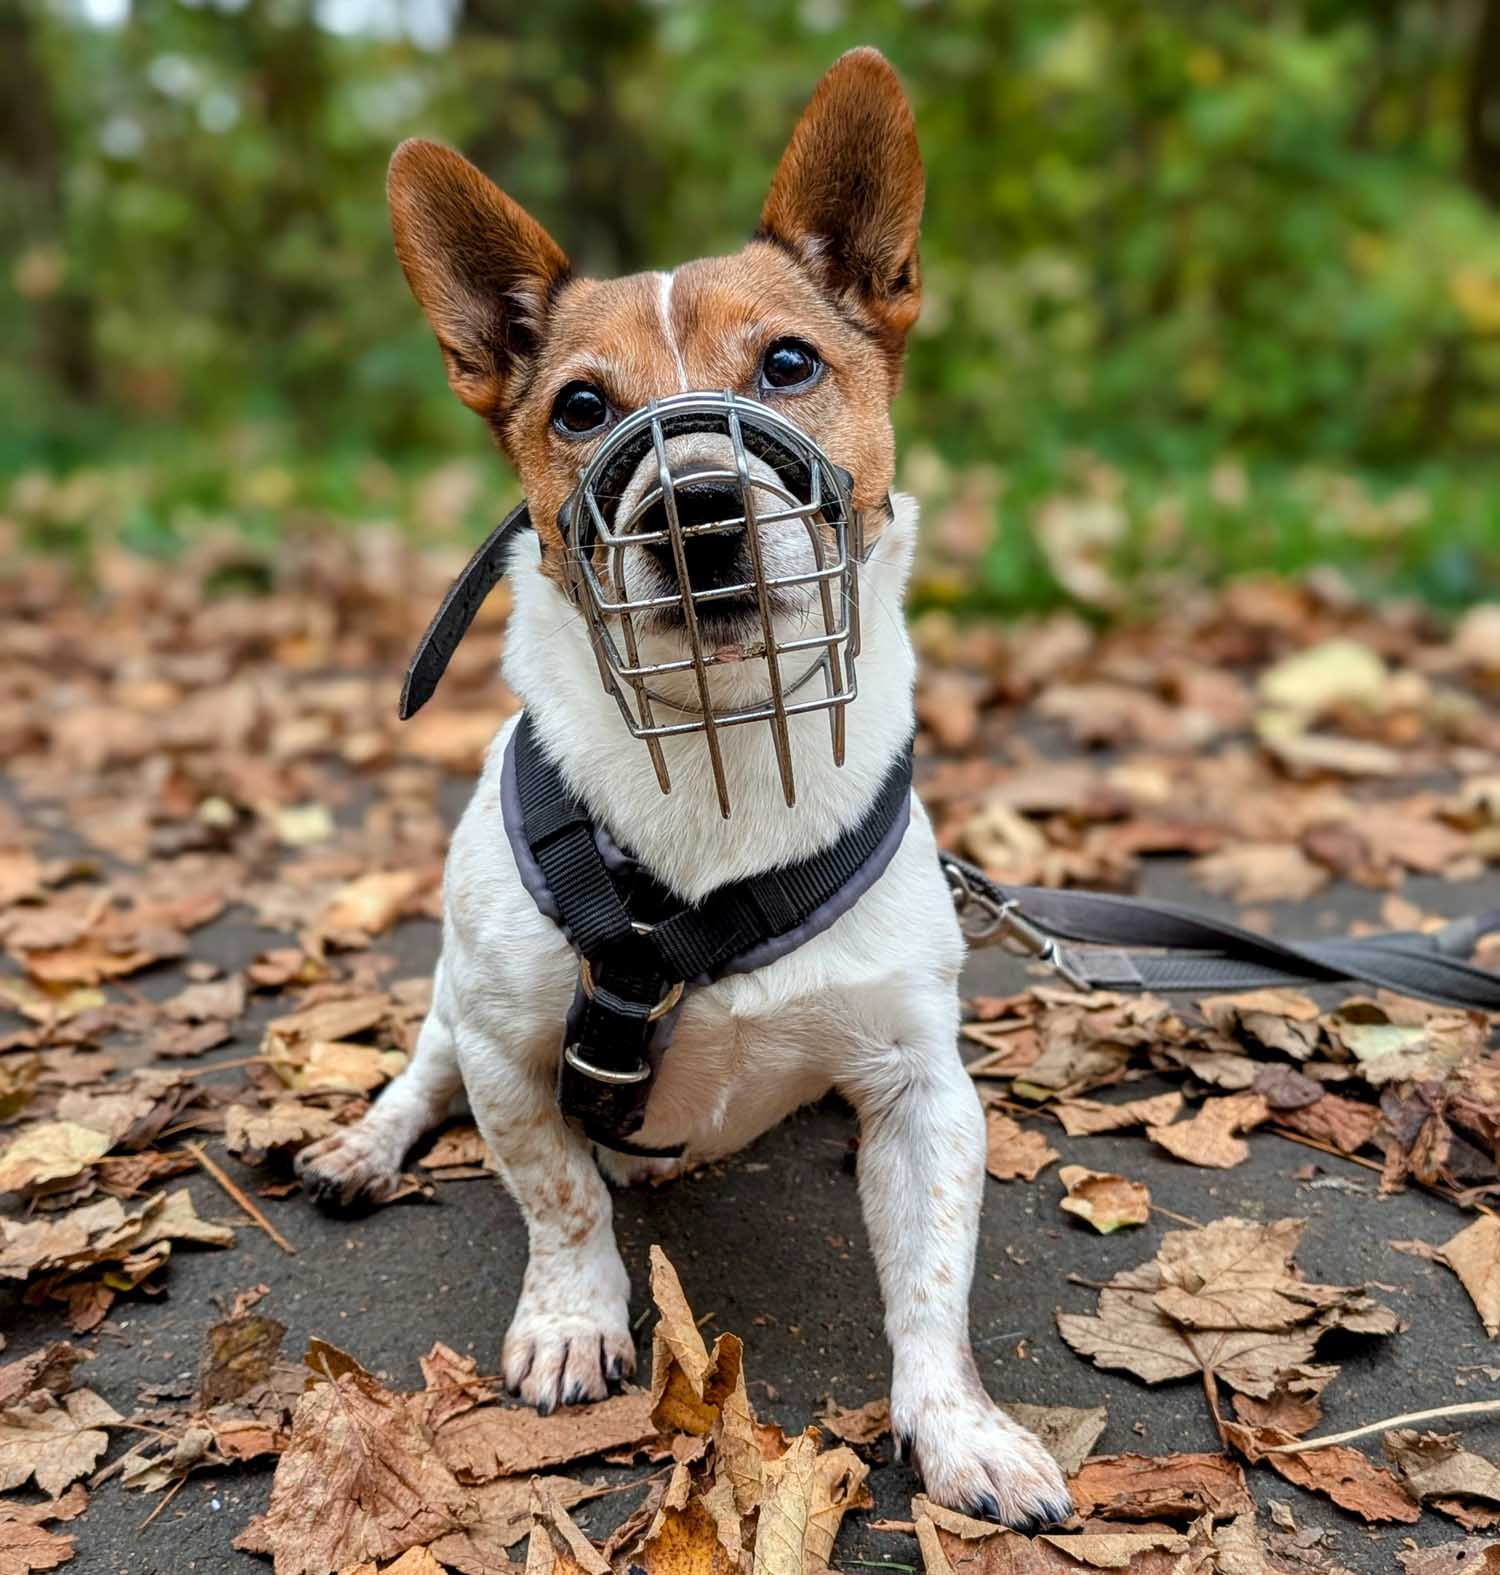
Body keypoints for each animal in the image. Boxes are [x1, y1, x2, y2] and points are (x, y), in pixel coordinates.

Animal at [299, 52, 1071, 1537]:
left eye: (789, 364)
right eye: (579, 407)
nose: (691, 511)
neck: (723, 760)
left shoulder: (922, 1088)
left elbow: (931, 1285)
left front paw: (961, 1428)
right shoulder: (509, 1046)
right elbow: (558, 1197)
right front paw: (572, 1319)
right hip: (446, 1002)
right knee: (418, 1078)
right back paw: (364, 1147)